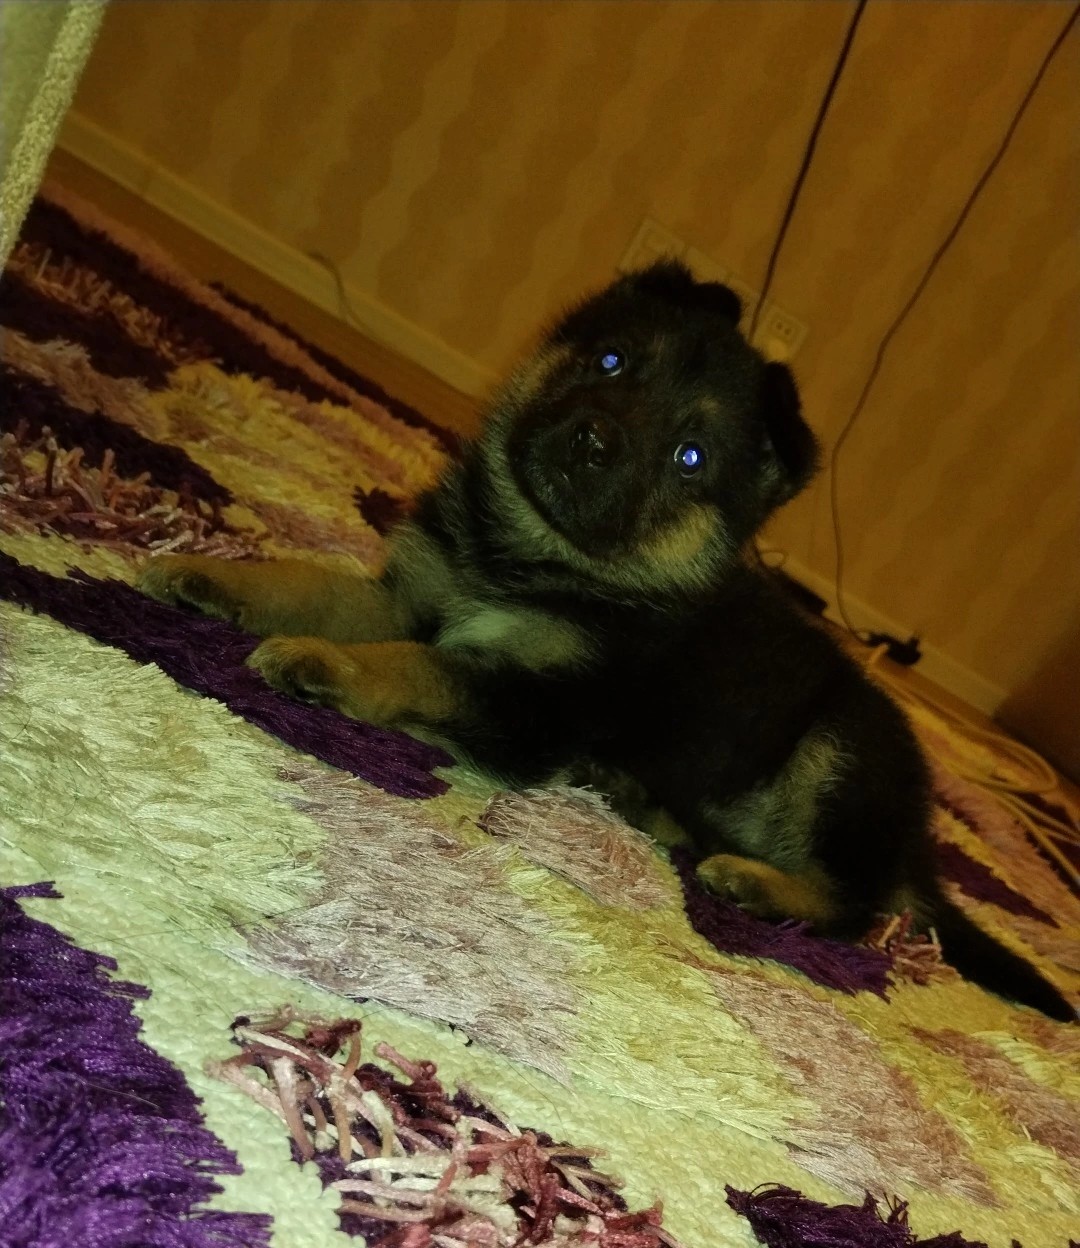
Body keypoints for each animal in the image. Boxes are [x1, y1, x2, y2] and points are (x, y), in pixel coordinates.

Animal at [138, 259, 1074, 1022]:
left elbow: (423, 666)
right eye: (613, 362)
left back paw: (757, 883)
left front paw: (324, 663)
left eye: (691, 456)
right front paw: (213, 574)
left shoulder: (535, 704)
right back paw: (634, 796)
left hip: (835, 757)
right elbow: (315, 585)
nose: (593, 439)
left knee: (857, 907)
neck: (531, 557)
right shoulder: (411, 597)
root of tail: (917, 837)